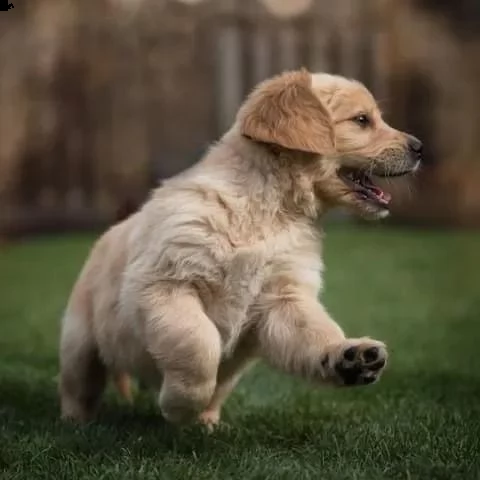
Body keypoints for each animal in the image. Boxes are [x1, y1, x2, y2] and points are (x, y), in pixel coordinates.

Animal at [58, 68, 422, 428]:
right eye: (362, 120)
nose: (420, 147)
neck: (269, 210)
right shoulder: (165, 283)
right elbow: (199, 343)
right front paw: (178, 405)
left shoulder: (282, 298)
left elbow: (313, 331)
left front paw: (348, 356)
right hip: (79, 341)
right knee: (79, 386)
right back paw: (77, 422)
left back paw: (207, 422)